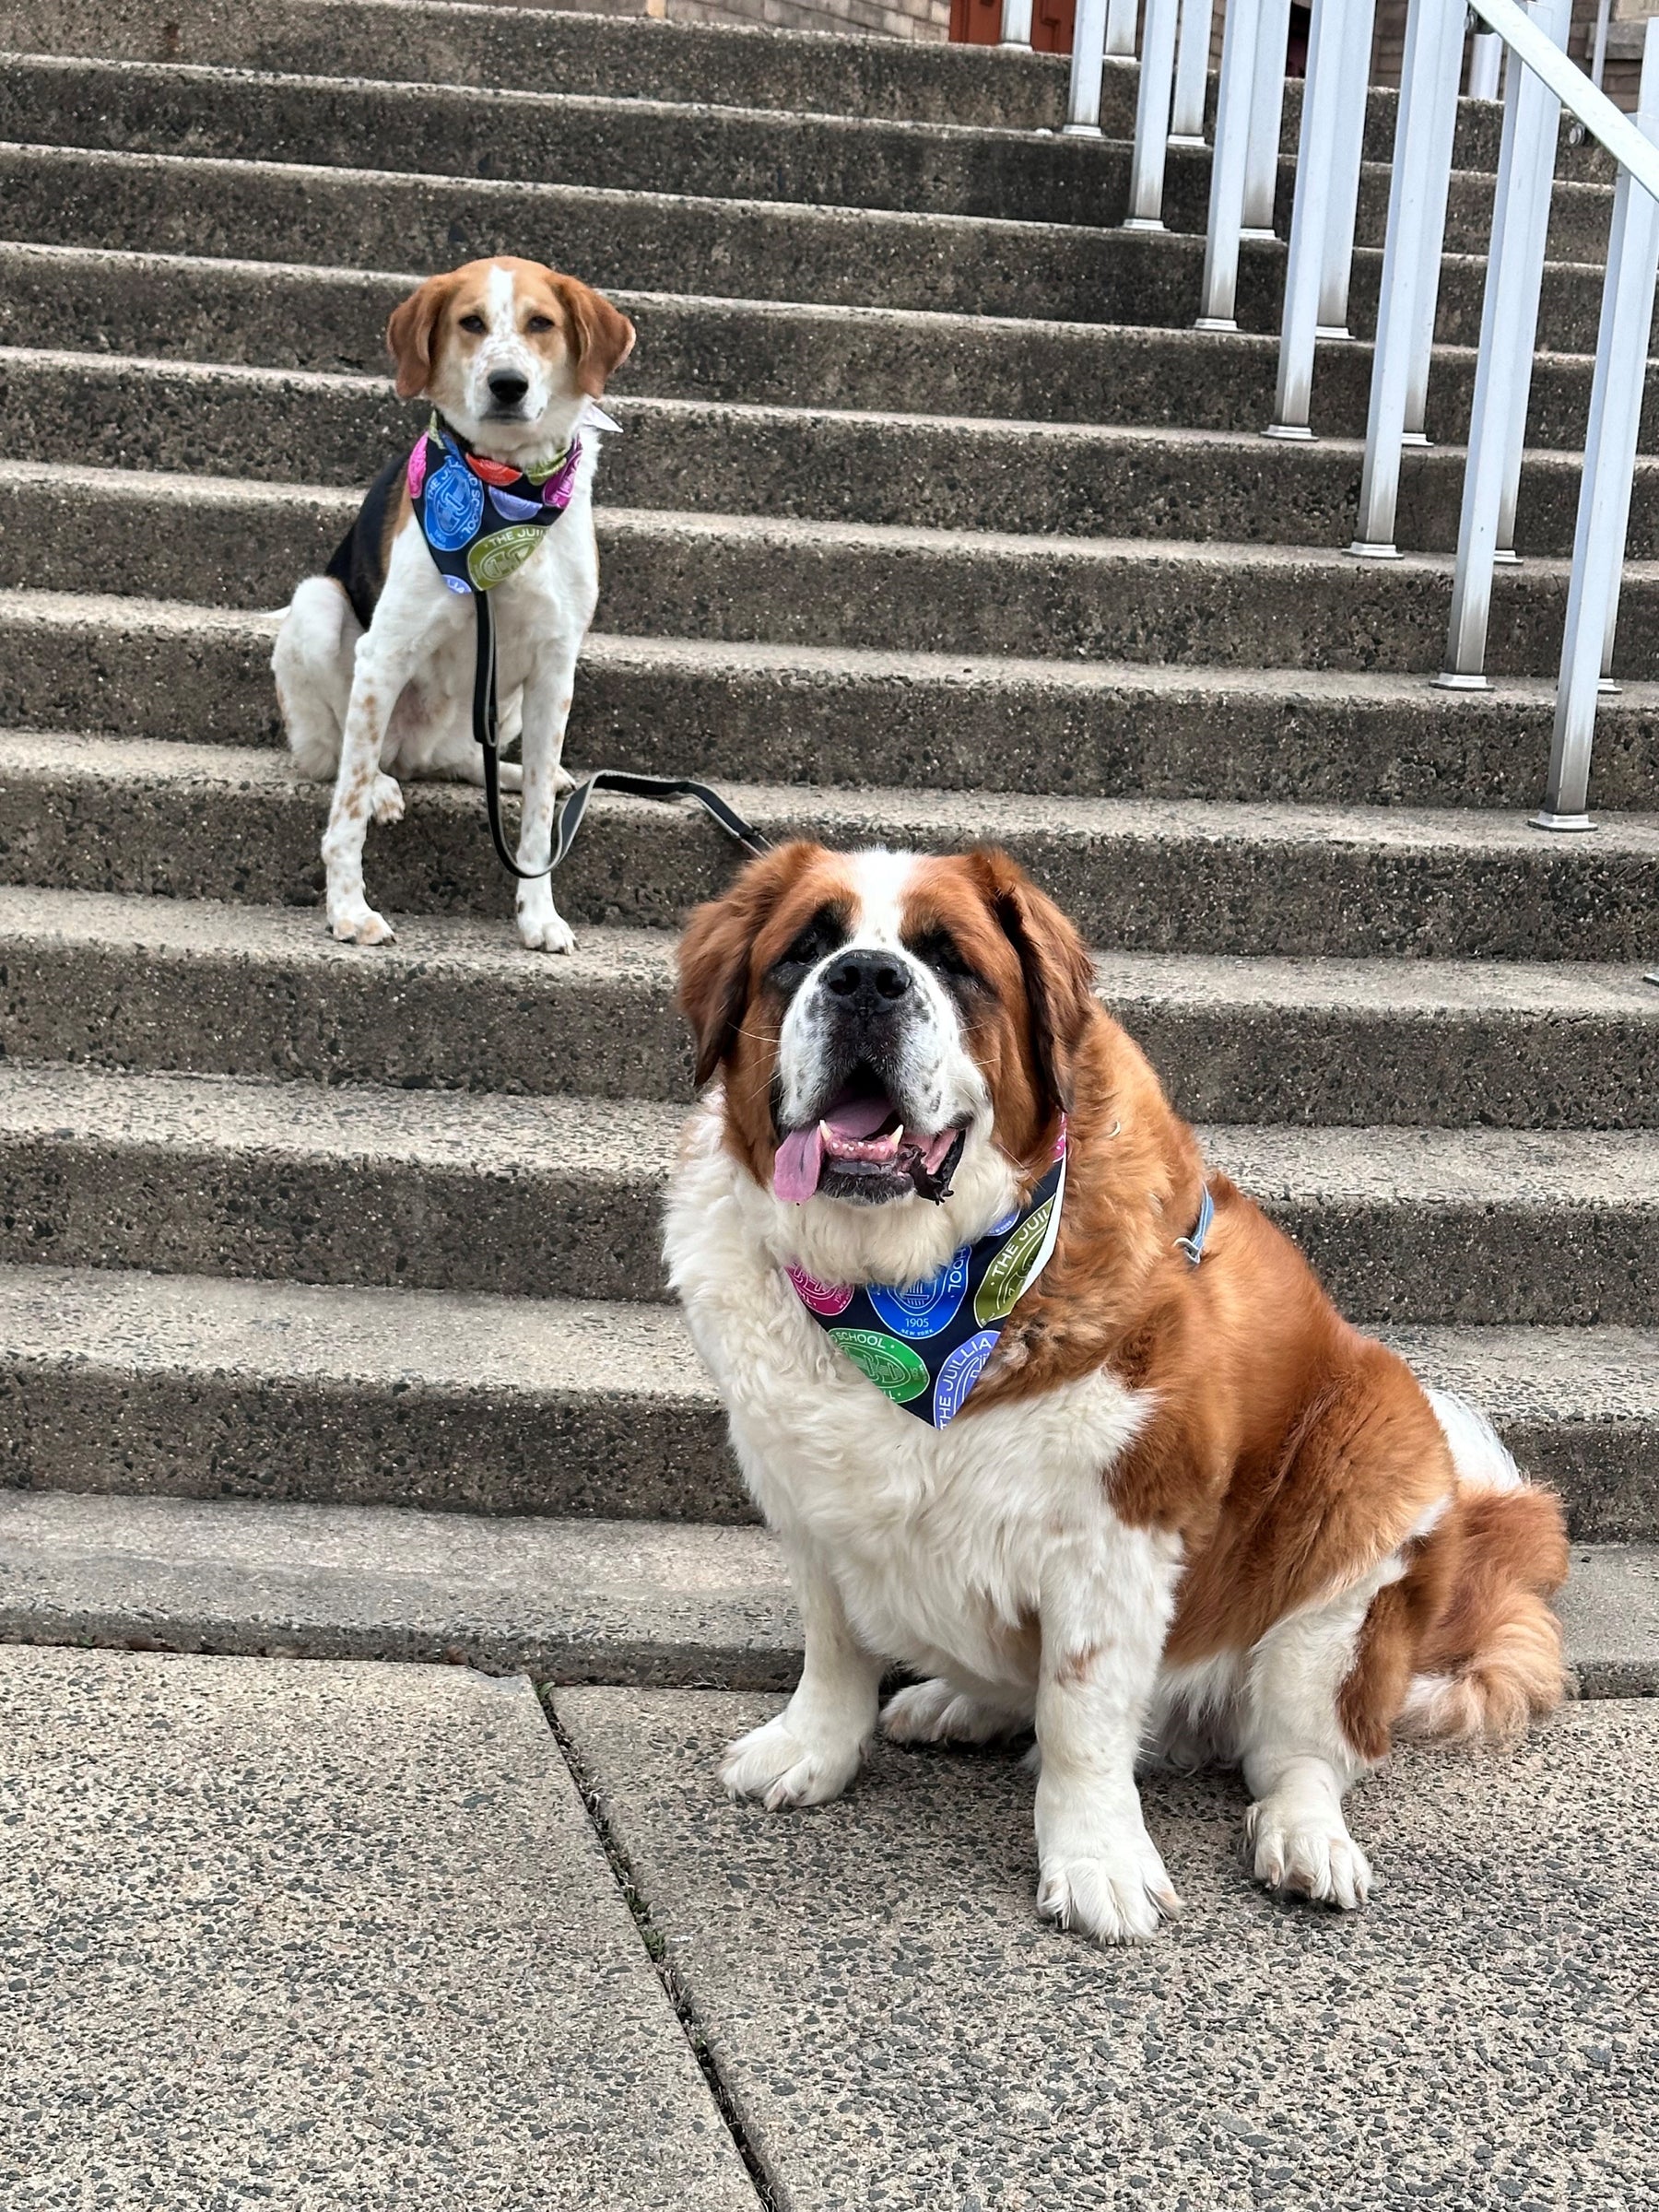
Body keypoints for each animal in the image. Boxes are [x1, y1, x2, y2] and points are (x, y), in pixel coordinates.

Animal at [273, 256, 637, 951]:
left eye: (541, 324)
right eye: (470, 323)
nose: (507, 385)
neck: (507, 488)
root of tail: (413, 751)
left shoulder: (555, 670)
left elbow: (537, 826)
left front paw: (538, 916)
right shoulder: (385, 653)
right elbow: (345, 814)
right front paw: (348, 910)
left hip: (503, 708)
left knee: (470, 760)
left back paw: (529, 774)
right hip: (318, 607)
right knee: (343, 757)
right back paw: (383, 785)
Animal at [664, 836, 1574, 1947]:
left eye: (949, 960)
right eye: (805, 949)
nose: (867, 979)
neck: (909, 1300)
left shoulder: (1119, 1533)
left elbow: (1082, 1715)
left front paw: (1097, 1859)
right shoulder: (807, 1496)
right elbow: (835, 1646)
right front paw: (813, 1751)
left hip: (1360, 1513)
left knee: (1302, 1756)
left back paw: (1305, 1838)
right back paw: (955, 1702)